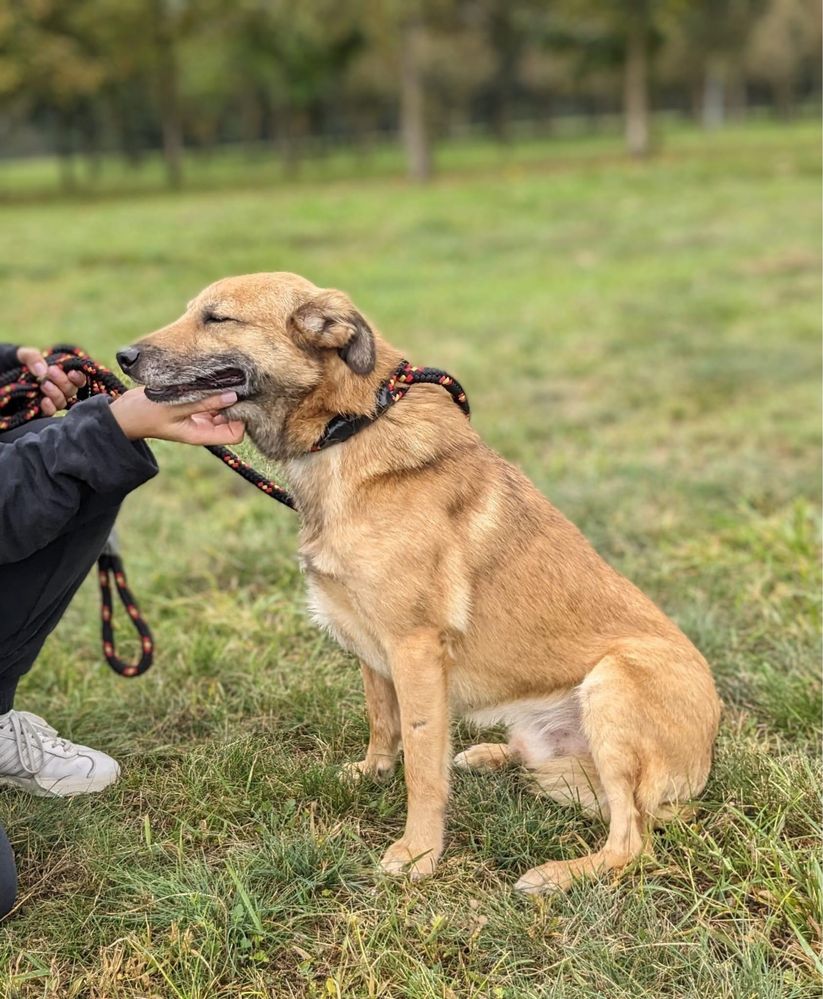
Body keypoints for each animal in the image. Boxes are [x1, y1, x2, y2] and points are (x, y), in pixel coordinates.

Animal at [119, 272, 724, 892]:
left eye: (217, 318)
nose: (123, 358)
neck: (348, 426)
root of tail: (699, 770)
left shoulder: (414, 649)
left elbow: (422, 763)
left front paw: (418, 854)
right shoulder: (371, 644)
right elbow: (383, 722)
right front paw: (372, 772)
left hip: (614, 682)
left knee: (631, 840)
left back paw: (559, 874)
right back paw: (488, 755)